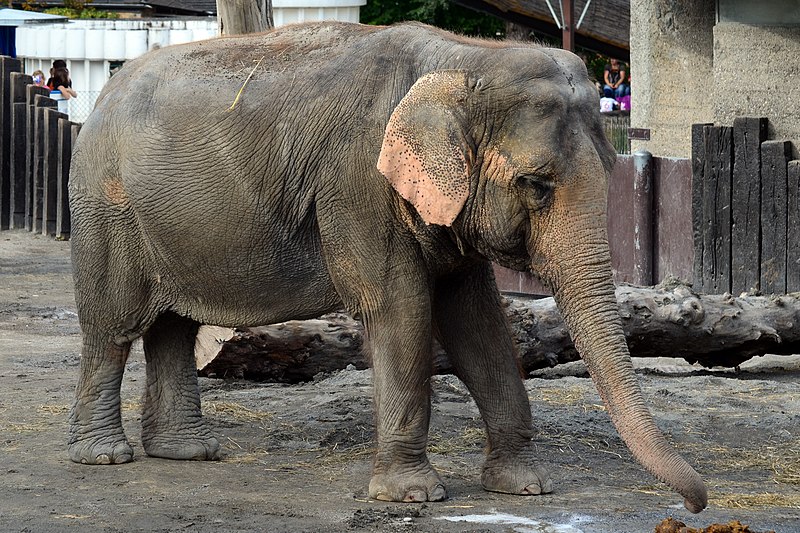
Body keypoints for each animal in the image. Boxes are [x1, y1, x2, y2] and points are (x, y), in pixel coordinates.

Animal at [67, 20, 708, 512]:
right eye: (536, 185)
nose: (694, 504)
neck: (464, 57)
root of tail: (102, 96)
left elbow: (477, 322)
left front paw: (525, 487)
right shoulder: (358, 185)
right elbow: (402, 308)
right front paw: (412, 497)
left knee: (173, 327)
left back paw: (188, 452)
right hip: (106, 209)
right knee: (113, 328)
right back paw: (105, 455)